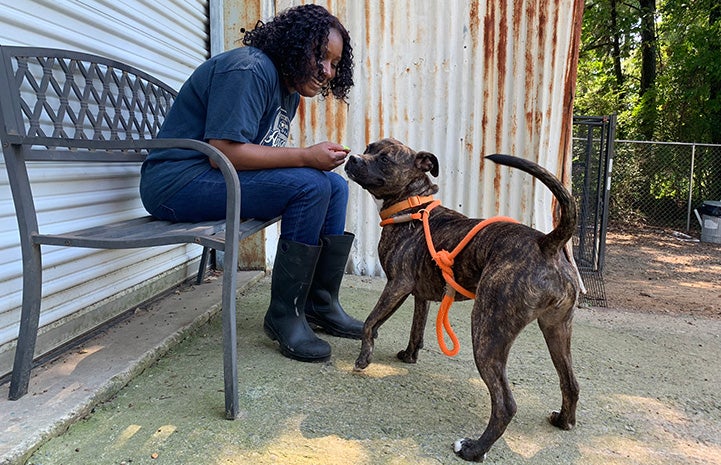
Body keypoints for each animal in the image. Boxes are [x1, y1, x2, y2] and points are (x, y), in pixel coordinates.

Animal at [344, 137, 580, 460]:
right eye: (368, 148)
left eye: (384, 159)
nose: (352, 158)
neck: (413, 207)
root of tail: (547, 243)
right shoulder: (420, 295)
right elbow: (417, 329)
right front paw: (409, 355)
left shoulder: (397, 285)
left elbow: (370, 323)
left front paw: (363, 358)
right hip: (556, 328)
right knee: (571, 383)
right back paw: (563, 421)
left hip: (487, 330)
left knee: (505, 404)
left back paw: (474, 449)